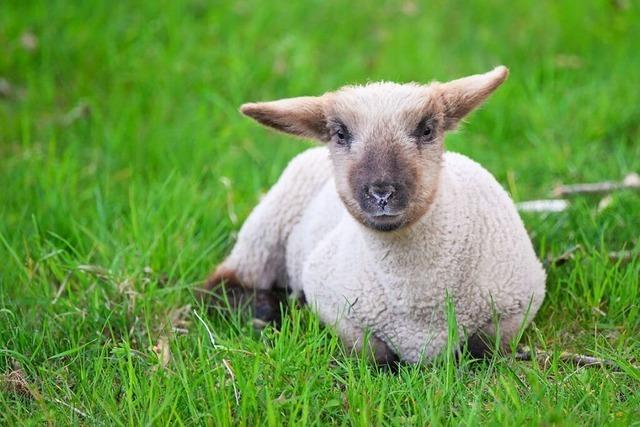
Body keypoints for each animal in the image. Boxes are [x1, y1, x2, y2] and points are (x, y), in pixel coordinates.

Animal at [200, 66, 544, 364]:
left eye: (427, 129)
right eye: (340, 134)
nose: (381, 193)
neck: (418, 304)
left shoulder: (519, 302)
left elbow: (482, 346)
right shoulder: (333, 303)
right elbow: (373, 353)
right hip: (265, 230)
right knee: (219, 287)